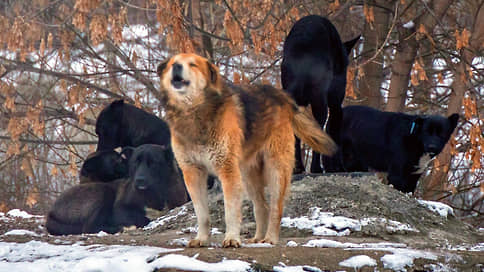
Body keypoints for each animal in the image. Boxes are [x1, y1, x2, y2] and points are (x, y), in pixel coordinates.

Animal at [45, 143, 189, 235]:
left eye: (153, 162)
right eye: (135, 162)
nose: (139, 180)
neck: (155, 192)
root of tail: (51, 213)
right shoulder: (120, 209)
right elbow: (142, 218)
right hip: (103, 193)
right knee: (89, 227)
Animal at [157, 52, 334, 246]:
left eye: (193, 64)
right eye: (173, 63)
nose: (176, 67)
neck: (193, 112)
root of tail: (281, 95)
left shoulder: (227, 170)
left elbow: (230, 212)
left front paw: (232, 239)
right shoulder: (192, 173)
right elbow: (202, 214)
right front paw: (201, 239)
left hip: (276, 170)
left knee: (275, 208)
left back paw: (270, 238)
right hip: (248, 176)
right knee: (262, 206)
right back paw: (257, 238)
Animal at [280, 14, 360, 172]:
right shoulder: (336, 103)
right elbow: (334, 132)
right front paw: (337, 167)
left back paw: (298, 167)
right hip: (321, 99)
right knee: (319, 128)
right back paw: (315, 167)